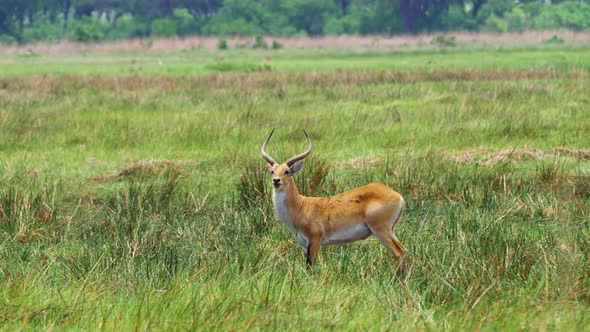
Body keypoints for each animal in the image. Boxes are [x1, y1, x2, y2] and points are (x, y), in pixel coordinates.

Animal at [262, 129, 410, 272]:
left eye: (287, 171)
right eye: (272, 171)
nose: (276, 181)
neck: (300, 207)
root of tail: (397, 195)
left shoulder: (315, 240)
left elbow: (311, 267)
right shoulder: (304, 244)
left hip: (381, 229)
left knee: (399, 253)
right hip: (389, 230)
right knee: (404, 252)